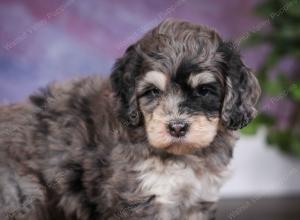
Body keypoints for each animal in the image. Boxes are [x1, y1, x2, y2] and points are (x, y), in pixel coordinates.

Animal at [0, 19, 260, 220]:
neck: (179, 157)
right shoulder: (139, 198)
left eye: (204, 91)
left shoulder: (197, 200)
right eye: (153, 92)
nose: (177, 127)